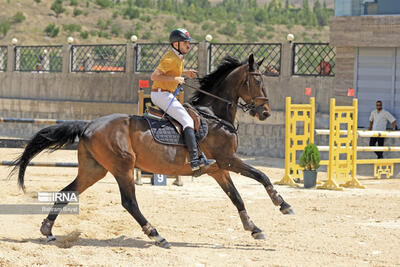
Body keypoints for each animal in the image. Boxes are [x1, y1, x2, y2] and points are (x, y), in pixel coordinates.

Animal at [11, 54, 294, 249]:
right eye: (257, 80)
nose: (265, 113)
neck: (214, 116)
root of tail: (89, 124)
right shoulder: (228, 160)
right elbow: (262, 176)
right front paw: (283, 204)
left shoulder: (218, 168)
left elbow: (237, 197)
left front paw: (253, 227)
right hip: (122, 167)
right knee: (129, 202)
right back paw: (156, 234)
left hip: (94, 169)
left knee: (66, 192)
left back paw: (47, 230)